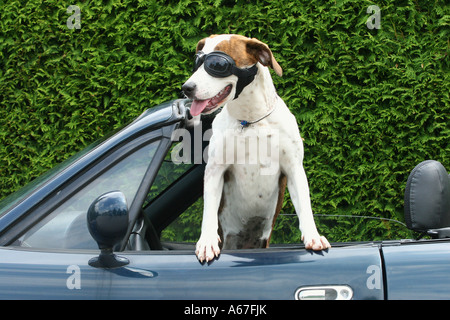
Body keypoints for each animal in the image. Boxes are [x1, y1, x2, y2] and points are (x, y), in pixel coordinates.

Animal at [180, 34, 330, 262]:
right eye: (197, 61)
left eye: (217, 65)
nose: (187, 87)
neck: (250, 120)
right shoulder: (215, 170)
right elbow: (208, 211)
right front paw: (206, 241)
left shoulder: (294, 168)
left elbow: (305, 204)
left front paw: (313, 236)